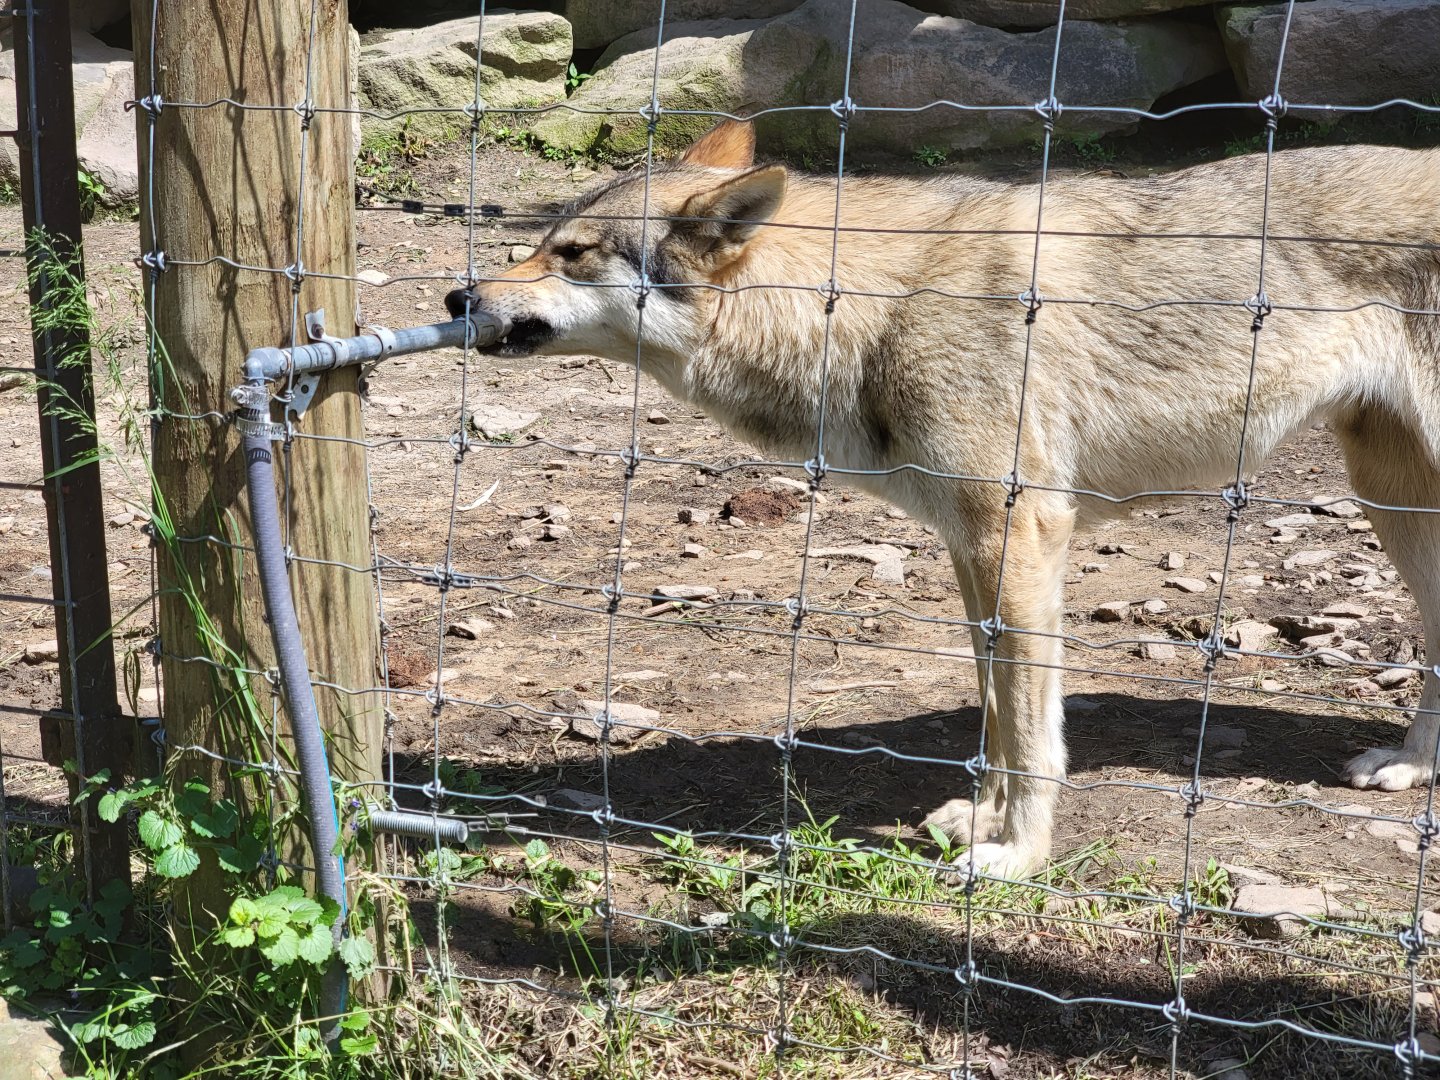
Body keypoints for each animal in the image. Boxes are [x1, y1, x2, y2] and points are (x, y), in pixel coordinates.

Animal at [447, 120, 1440, 879]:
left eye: (572, 254)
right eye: (540, 240)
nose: (460, 294)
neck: (868, 308)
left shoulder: (1020, 536)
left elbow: (1033, 734)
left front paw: (1017, 858)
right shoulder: (971, 549)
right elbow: (996, 714)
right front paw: (982, 820)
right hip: (1395, 504)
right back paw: (1410, 767)